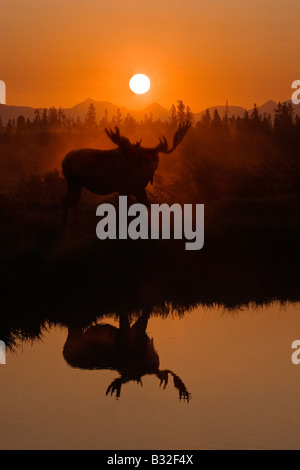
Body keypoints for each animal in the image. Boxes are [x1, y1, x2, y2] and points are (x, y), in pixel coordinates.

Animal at [62, 121, 191, 224]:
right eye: (143, 158)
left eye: (156, 158)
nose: (151, 168)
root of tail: (63, 161)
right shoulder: (124, 187)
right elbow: (126, 208)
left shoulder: (136, 188)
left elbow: (146, 205)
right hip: (74, 181)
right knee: (68, 201)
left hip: (76, 184)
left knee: (72, 201)